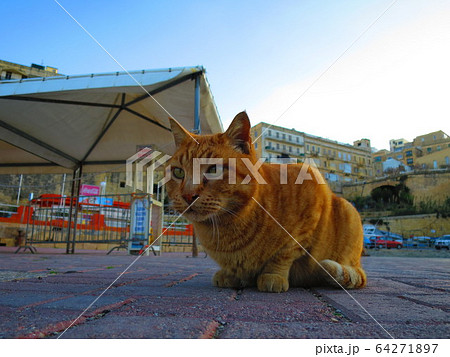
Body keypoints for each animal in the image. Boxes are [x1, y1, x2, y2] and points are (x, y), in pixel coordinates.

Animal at [165, 112, 366, 292]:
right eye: (179, 172)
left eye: (213, 169)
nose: (188, 195)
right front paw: (231, 274)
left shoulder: (311, 195)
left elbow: (284, 253)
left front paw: (273, 275)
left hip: (349, 212)